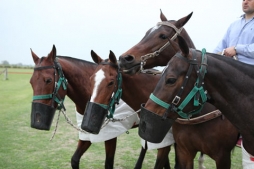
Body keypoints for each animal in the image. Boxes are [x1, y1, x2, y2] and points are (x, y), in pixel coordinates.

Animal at [28, 45, 170, 169]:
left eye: (48, 80)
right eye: (31, 82)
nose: (37, 121)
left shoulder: (110, 136)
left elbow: (108, 164)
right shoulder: (86, 135)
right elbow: (74, 160)